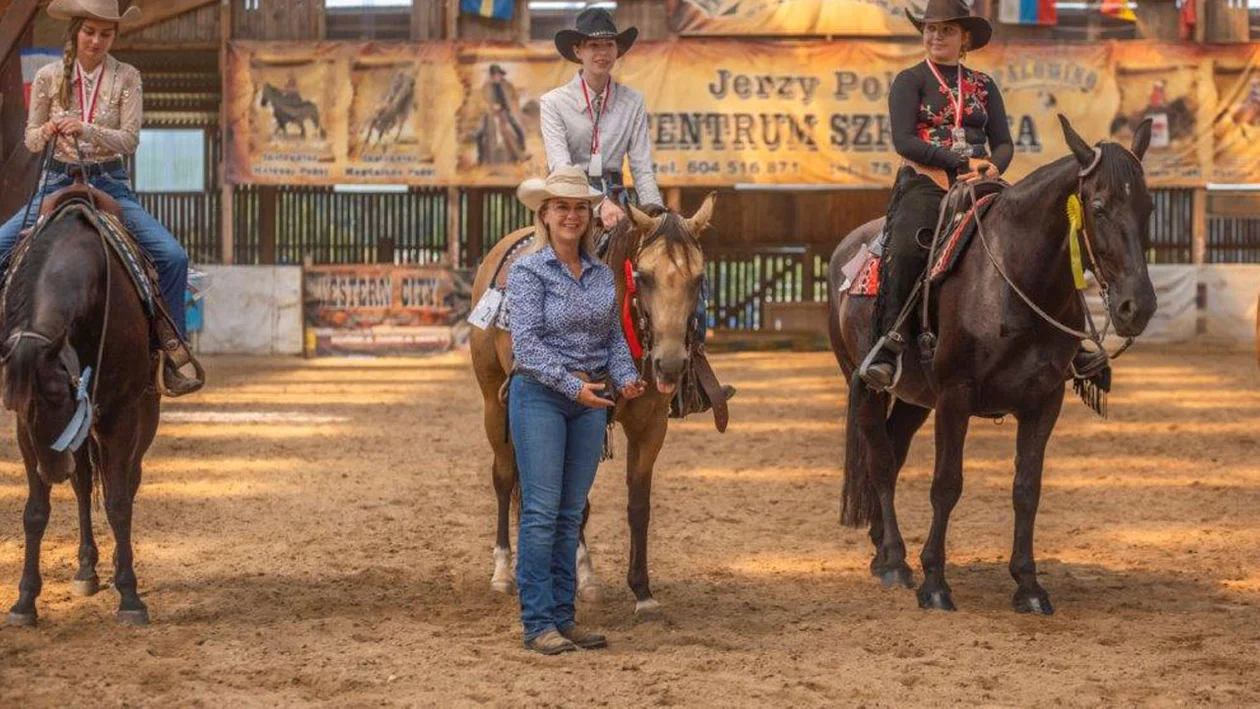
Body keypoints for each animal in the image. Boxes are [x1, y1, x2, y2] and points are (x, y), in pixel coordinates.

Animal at [1, 186, 160, 624]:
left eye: (58, 394)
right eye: (17, 404)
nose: (54, 469)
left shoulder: (121, 413)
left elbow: (119, 501)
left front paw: (130, 597)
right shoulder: (26, 435)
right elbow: (36, 511)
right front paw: (24, 600)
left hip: (144, 412)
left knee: (128, 480)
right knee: (83, 483)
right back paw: (86, 568)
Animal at [471, 195, 720, 617]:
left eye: (699, 278)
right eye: (644, 276)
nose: (670, 364)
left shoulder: (651, 425)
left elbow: (638, 506)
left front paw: (642, 591)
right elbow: (577, 501)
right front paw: (581, 578)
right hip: (493, 403)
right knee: (504, 478)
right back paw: (503, 571)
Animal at [826, 117, 1159, 617]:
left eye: (1149, 206)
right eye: (1098, 206)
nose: (1137, 307)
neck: (1013, 280)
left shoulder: (1044, 401)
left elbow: (1026, 488)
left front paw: (1029, 585)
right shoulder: (955, 397)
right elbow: (947, 484)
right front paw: (935, 582)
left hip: (915, 398)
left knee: (894, 451)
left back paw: (882, 549)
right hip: (864, 382)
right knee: (881, 461)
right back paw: (897, 563)